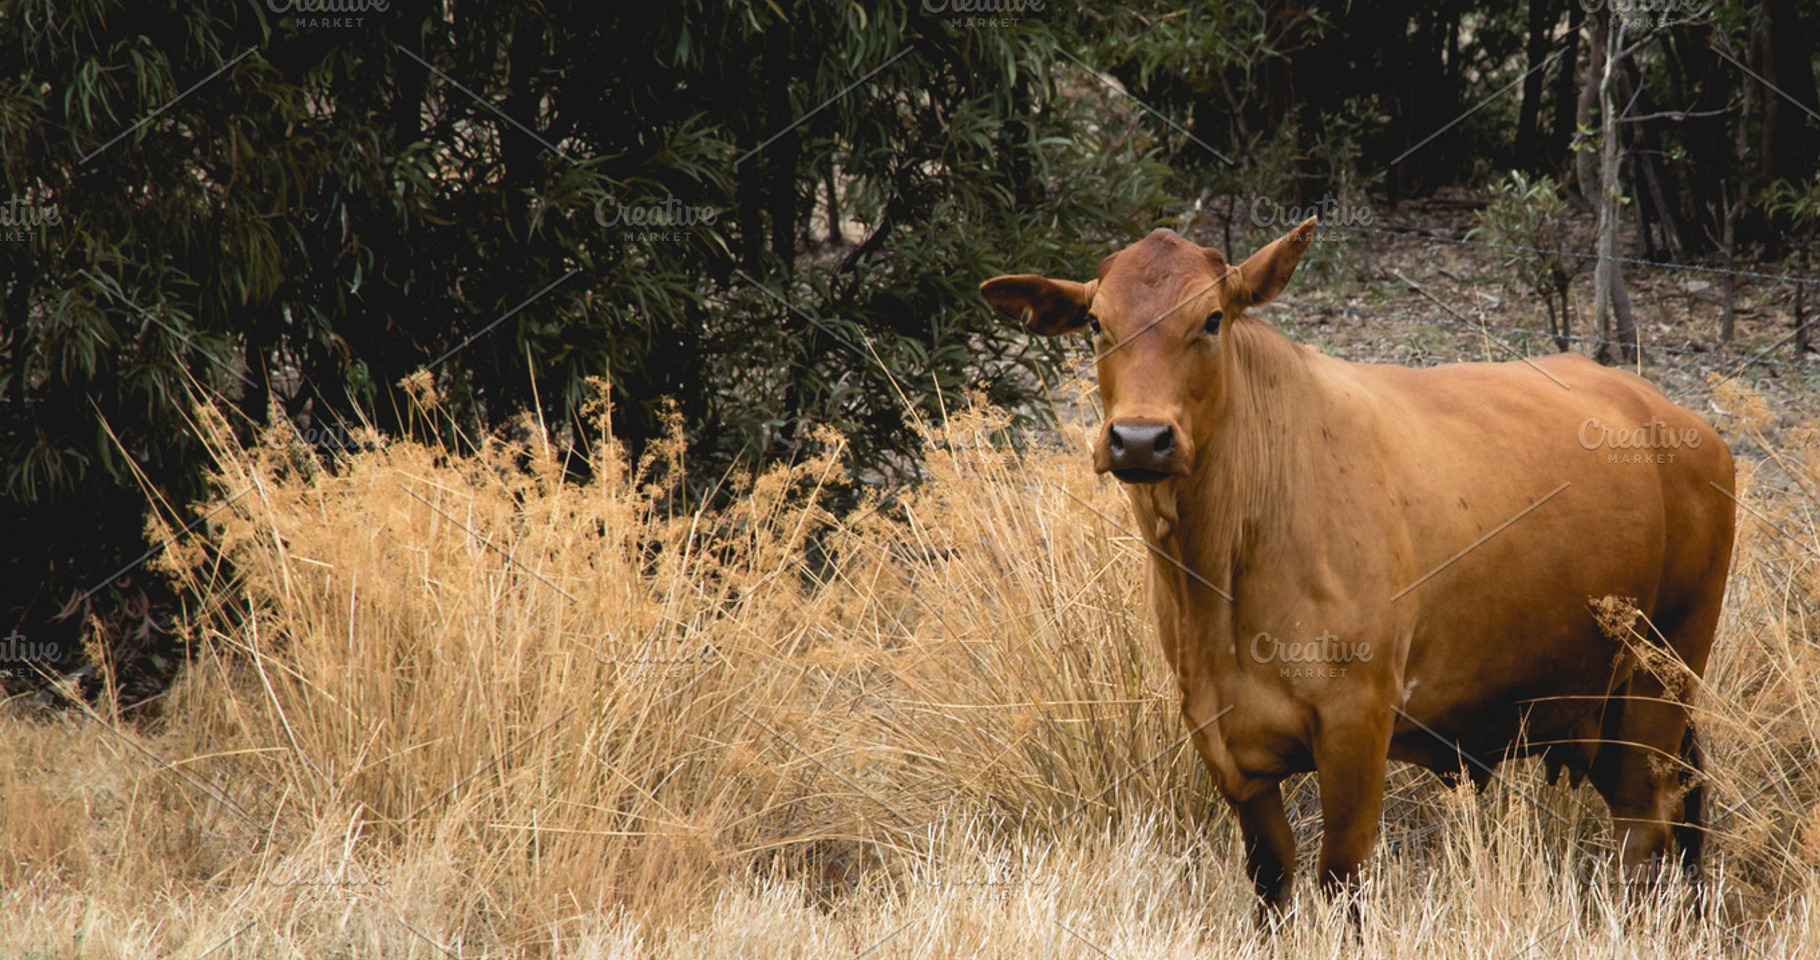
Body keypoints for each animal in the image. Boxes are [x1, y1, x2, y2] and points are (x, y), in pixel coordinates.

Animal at [980, 218, 1735, 924]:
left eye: (1213, 320)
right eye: (1096, 324)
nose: (1140, 439)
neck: (1217, 581)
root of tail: (1675, 417)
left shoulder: (1357, 723)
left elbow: (1342, 884)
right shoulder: (1221, 736)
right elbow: (1271, 879)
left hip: (1661, 676)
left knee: (1646, 834)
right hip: (1596, 707)